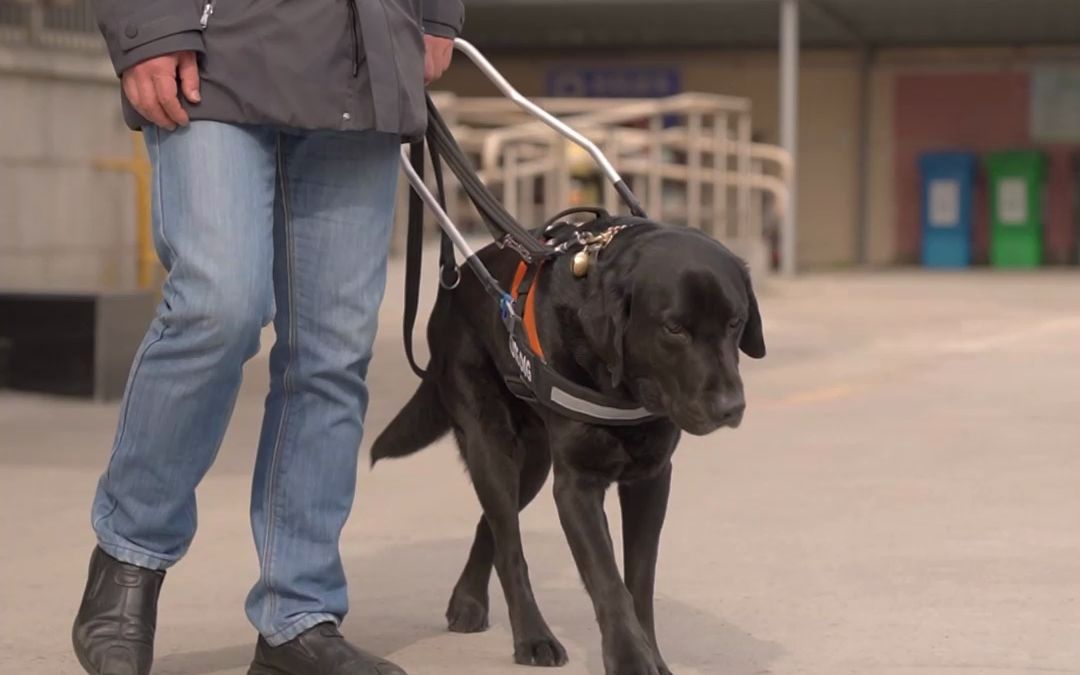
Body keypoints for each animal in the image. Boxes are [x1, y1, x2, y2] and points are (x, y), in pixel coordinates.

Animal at [375, 217, 764, 673]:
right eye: (674, 329)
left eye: (735, 321)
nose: (730, 407)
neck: (622, 386)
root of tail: (455, 281)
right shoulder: (576, 487)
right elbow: (609, 582)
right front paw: (631, 661)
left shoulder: (651, 480)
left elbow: (639, 581)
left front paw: (652, 656)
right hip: (490, 441)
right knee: (509, 546)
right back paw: (532, 636)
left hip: (533, 466)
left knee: (492, 524)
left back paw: (468, 601)